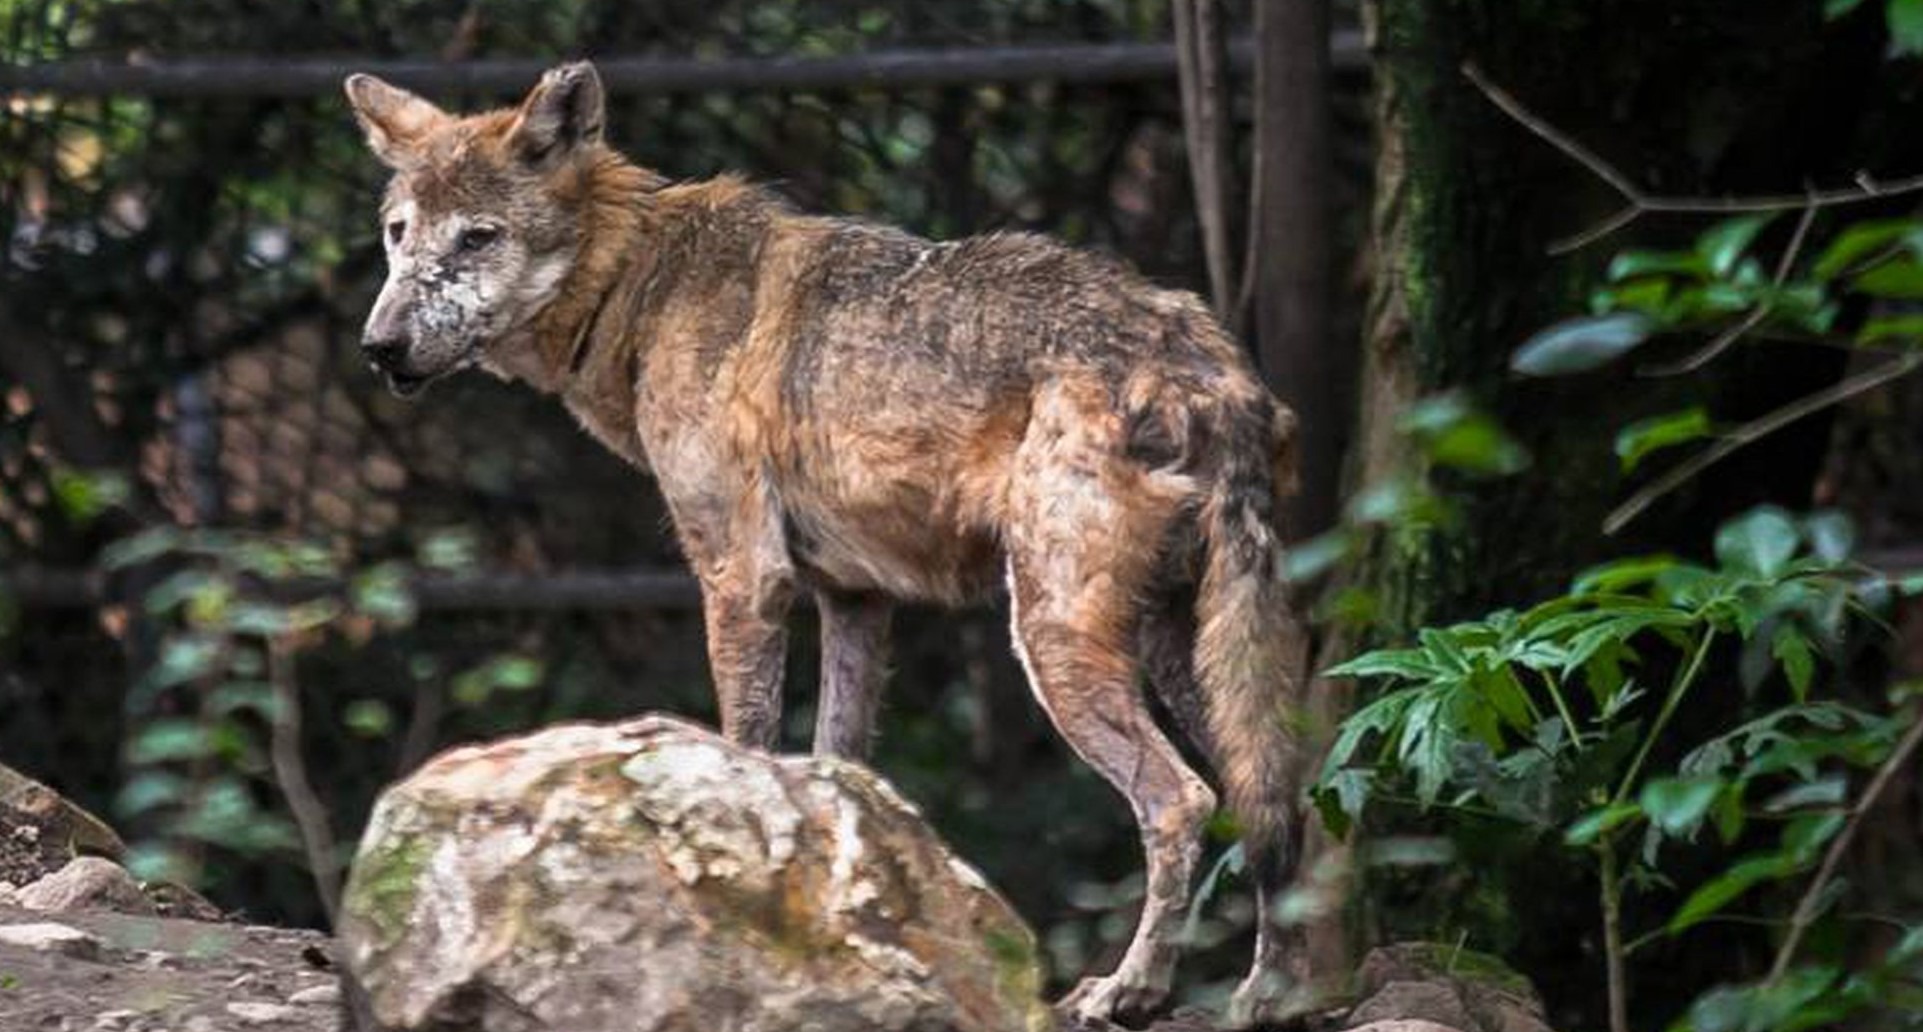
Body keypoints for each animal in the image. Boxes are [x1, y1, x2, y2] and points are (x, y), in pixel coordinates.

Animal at [342, 62, 1307, 1022]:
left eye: (477, 239)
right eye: (398, 234)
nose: (379, 346)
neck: (641, 288)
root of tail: (1213, 369)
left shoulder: (741, 577)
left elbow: (749, 749)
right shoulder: (854, 599)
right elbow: (838, 770)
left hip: (1052, 639)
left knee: (1182, 801)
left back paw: (1128, 990)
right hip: (1190, 655)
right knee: (1277, 799)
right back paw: (1271, 994)